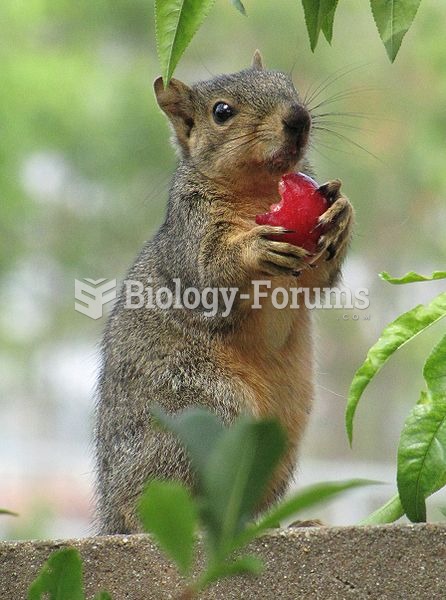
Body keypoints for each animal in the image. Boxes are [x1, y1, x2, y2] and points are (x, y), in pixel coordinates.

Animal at [94, 51, 352, 536]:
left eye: (287, 84)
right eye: (222, 112)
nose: (298, 117)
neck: (260, 190)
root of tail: (109, 515)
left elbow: (317, 280)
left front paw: (341, 215)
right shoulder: (192, 233)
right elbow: (210, 276)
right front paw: (254, 249)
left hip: (279, 440)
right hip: (205, 409)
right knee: (151, 506)